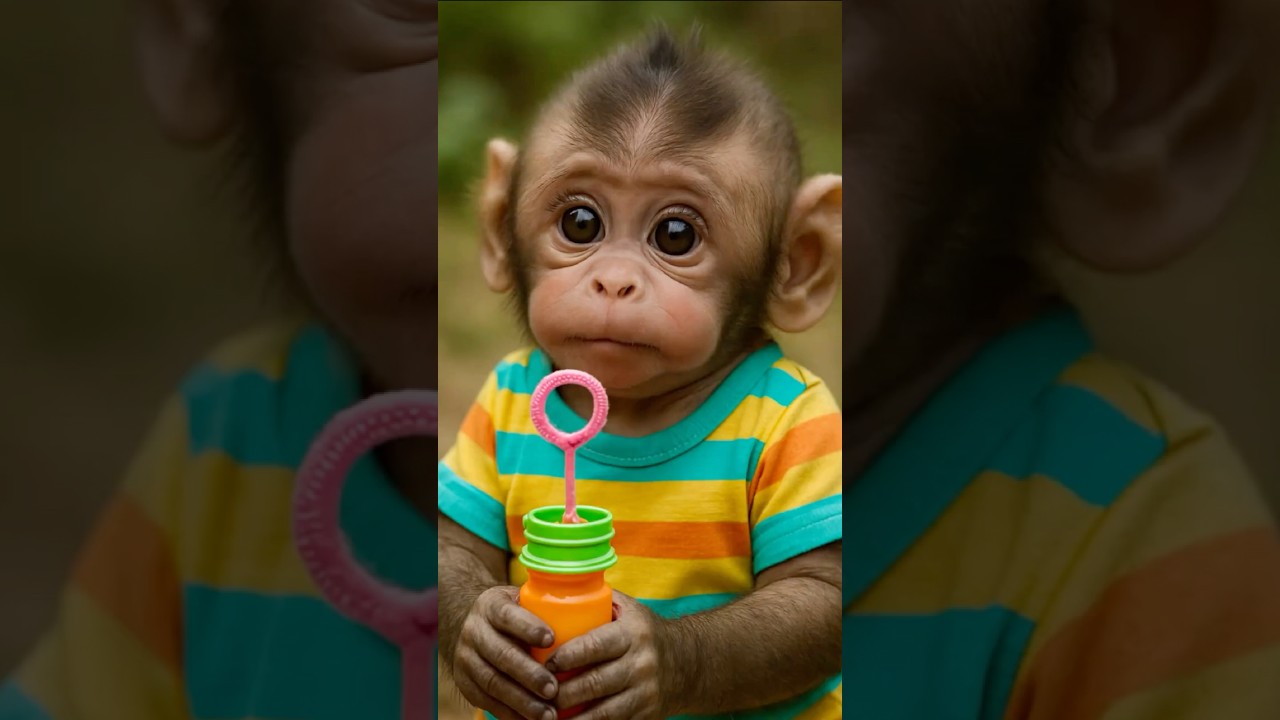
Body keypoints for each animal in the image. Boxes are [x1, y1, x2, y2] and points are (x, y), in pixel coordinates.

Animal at [437, 25, 843, 720]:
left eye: (675, 234)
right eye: (580, 223)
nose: (614, 282)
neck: (640, 414)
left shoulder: (810, 428)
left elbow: (814, 594)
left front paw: (648, 655)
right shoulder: (493, 396)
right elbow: (452, 546)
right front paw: (486, 638)